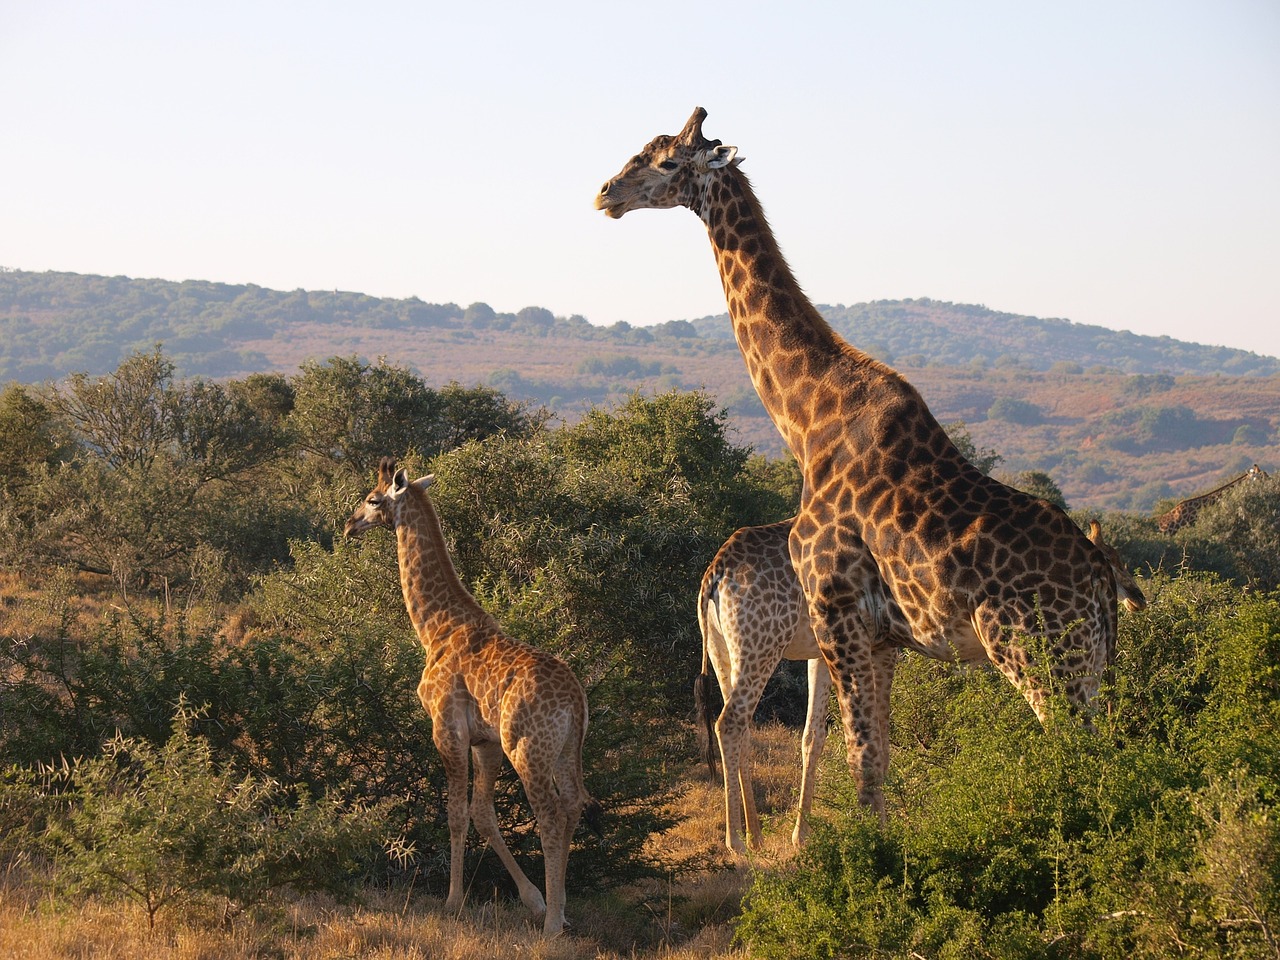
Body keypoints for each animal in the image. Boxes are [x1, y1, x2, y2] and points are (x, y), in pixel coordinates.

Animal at [343, 458, 596, 942]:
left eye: (372, 499)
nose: (349, 525)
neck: (435, 627)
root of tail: (576, 699)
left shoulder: (447, 729)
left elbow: (456, 814)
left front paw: (453, 901)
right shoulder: (487, 742)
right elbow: (482, 814)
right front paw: (533, 899)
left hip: (527, 748)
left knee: (551, 816)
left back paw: (553, 926)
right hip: (564, 748)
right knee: (575, 804)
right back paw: (560, 909)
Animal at [591, 108, 1121, 814]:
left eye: (667, 162)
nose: (606, 194)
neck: (808, 420)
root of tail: (1103, 581)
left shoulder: (835, 610)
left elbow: (858, 761)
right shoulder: (886, 636)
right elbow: (881, 762)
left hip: (1039, 658)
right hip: (1086, 670)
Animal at [696, 519, 906, 855]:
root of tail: (714, 574)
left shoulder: (820, 653)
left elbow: (812, 736)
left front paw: (802, 835)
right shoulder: (883, 644)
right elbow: (878, 734)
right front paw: (885, 827)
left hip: (721, 649)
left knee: (742, 730)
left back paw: (756, 836)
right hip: (761, 646)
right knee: (729, 722)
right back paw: (736, 841)